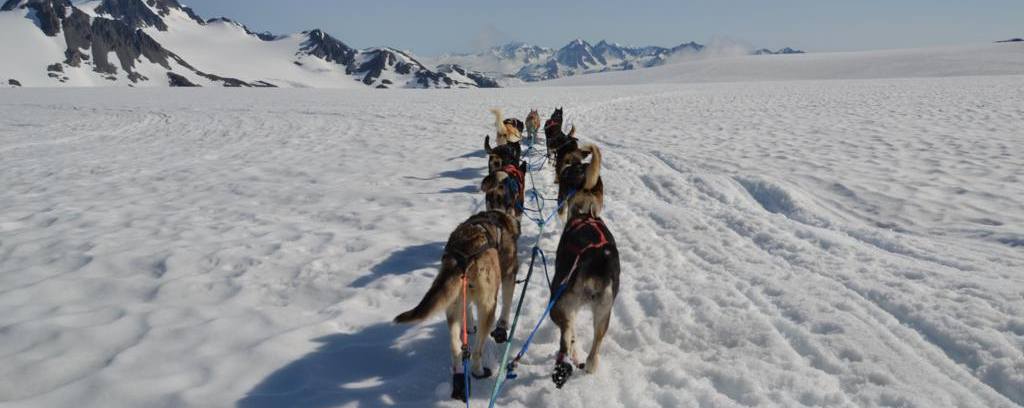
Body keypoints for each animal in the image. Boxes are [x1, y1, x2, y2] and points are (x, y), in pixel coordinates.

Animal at [391, 209, 520, 399]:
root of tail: (463, 254)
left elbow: (469, 311)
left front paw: (470, 326)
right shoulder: (509, 275)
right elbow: (507, 305)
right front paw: (502, 328)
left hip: (452, 305)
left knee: (456, 348)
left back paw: (459, 378)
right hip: (488, 306)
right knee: (476, 351)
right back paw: (478, 371)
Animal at [548, 143, 618, 389]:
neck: (585, 211)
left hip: (558, 302)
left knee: (567, 332)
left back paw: (567, 354)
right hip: (604, 314)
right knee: (594, 350)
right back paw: (586, 364)